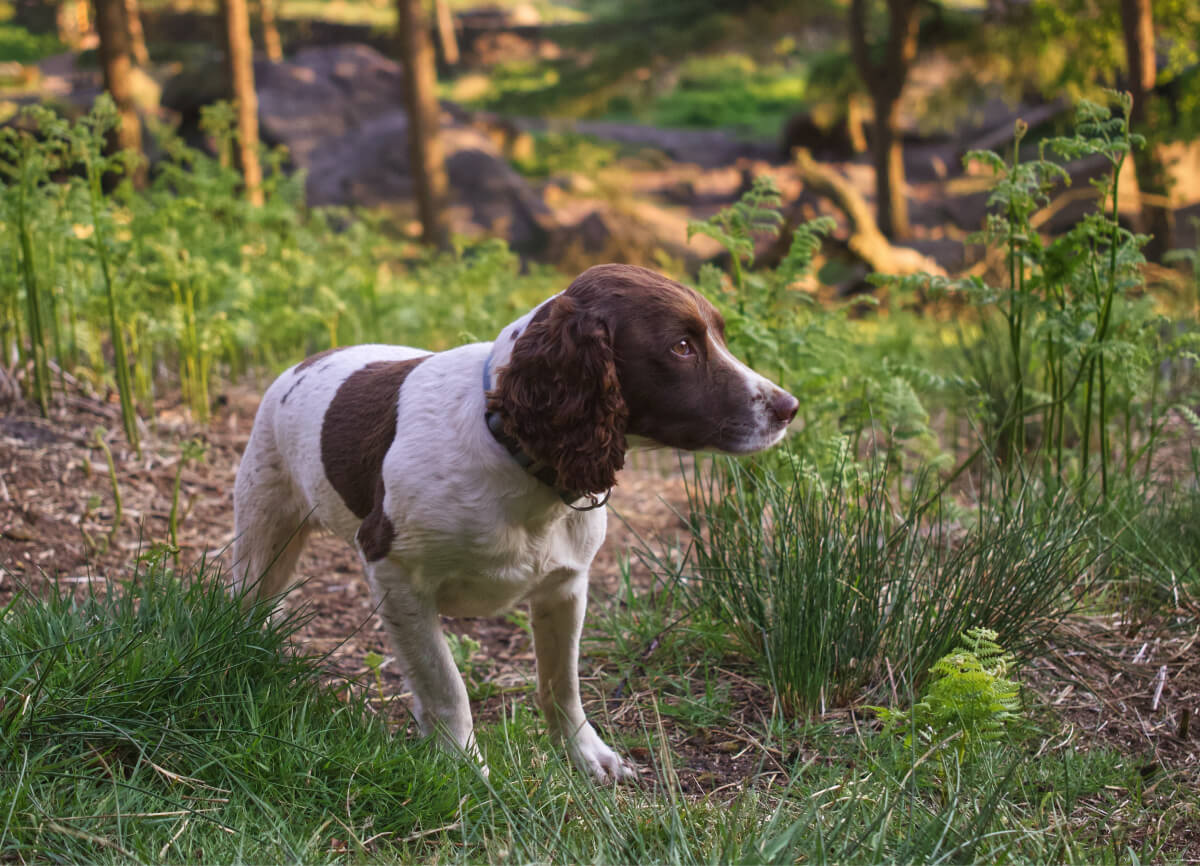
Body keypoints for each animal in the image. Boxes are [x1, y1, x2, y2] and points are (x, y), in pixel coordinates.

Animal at [232, 260, 796, 777]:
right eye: (681, 346)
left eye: (719, 336)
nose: (789, 407)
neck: (512, 451)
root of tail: (307, 361)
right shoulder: (395, 573)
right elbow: (447, 683)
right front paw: (463, 766)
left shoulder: (565, 586)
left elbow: (561, 684)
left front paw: (586, 757)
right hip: (264, 527)